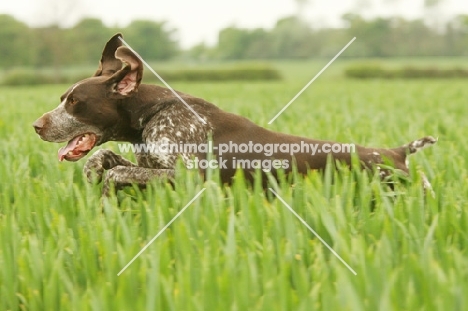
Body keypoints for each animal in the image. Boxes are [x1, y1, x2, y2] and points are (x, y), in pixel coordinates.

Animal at [32, 33, 436, 196]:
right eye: (63, 97)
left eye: (75, 102)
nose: (36, 125)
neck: (152, 114)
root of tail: (399, 152)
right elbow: (103, 159)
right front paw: (93, 181)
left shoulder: (190, 177)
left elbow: (116, 171)